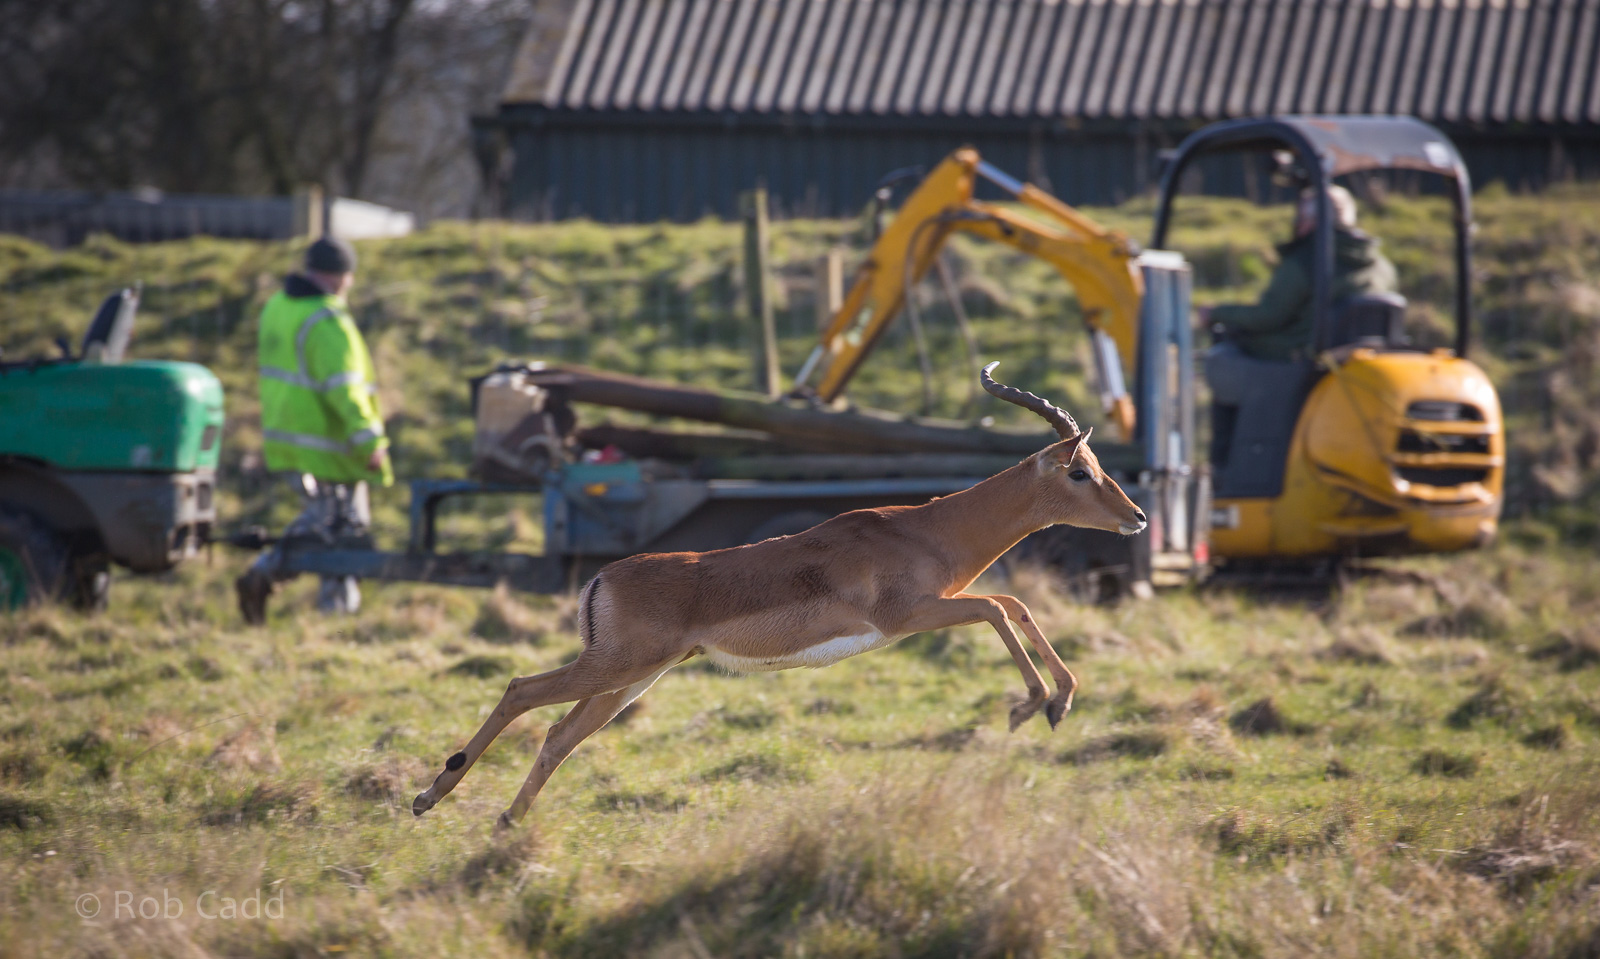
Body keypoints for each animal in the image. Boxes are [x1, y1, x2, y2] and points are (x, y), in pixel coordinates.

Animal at [414, 364, 1148, 828]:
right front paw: (1033, 706)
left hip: (631, 678)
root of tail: (603, 578)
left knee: (559, 733)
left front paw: (1061, 699)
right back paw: (429, 796)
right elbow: (1000, 606)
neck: (926, 528)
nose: (1137, 517)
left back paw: (505, 824)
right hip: (615, 666)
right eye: (1080, 472)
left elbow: (1015, 605)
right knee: (520, 690)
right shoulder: (909, 616)